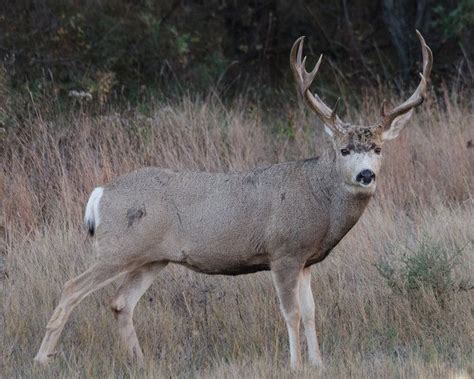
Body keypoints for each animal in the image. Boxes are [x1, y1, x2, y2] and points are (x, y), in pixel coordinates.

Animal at [33, 31, 434, 370]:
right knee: (71, 288)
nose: (366, 175)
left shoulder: (306, 259)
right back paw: (42, 359)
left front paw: (319, 364)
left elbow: (311, 311)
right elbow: (291, 312)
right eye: (344, 149)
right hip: (118, 247)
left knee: (120, 302)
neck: (318, 198)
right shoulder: (283, 251)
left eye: (379, 148)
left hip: (151, 257)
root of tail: (100, 194)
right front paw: (295, 365)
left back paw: (140, 363)